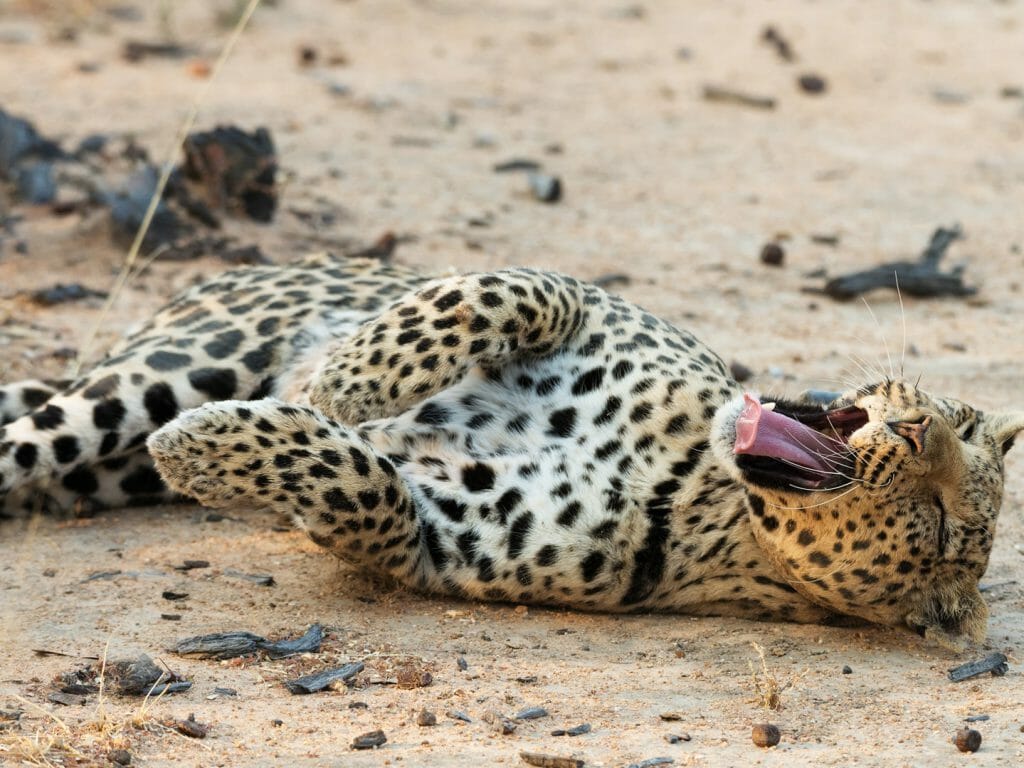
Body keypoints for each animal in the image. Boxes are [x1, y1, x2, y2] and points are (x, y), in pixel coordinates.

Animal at [1, 253, 1021, 650]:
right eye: (964, 424)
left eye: (936, 528)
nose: (917, 426)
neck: (702, 483)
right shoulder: (587, 303)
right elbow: (501, 294)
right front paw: (339, 384)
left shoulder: (437, 542)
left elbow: (366, 487)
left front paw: (216, 445)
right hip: (168, 364)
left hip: (106, 446)